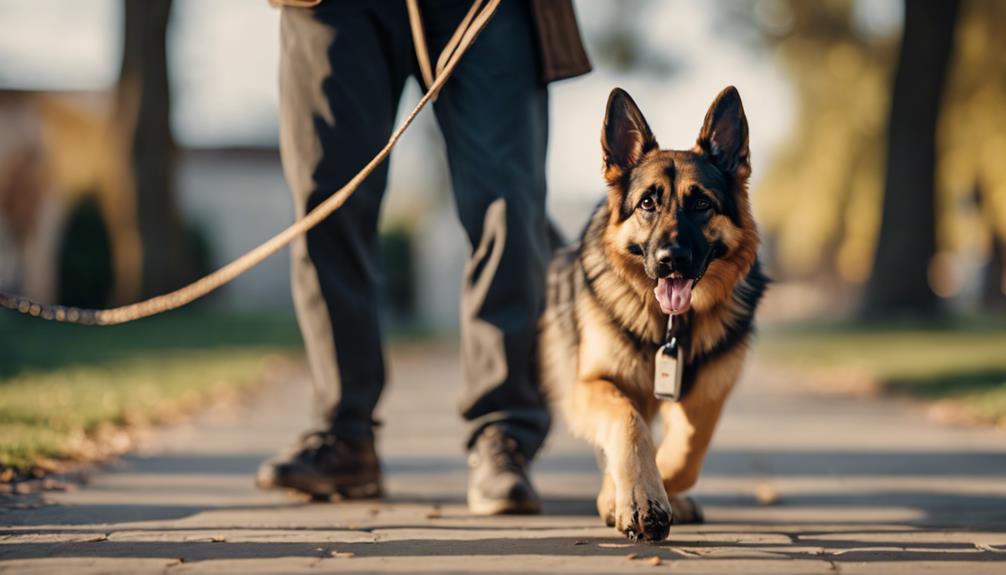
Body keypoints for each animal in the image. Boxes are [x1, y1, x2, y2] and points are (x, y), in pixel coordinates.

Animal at [547, 85, 764, 538]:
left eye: (701, 204)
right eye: (647, 203)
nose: (671, 260)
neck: (672, 325)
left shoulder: (709, 391)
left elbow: (686, 451)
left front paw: (651, 490)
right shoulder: (591, 384)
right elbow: (627, 423)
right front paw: (636, 498)